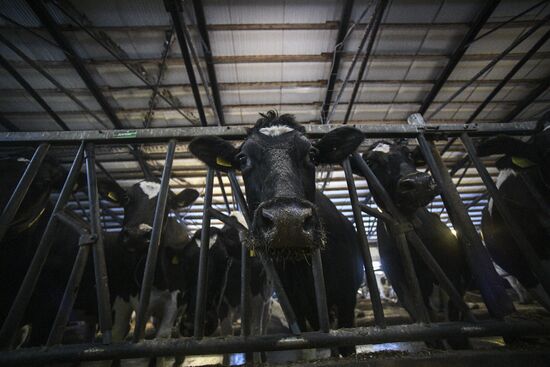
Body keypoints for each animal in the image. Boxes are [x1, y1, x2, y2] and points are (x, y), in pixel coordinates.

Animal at [190, 110, 366, 358]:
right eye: (243, 159)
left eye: (312, 154)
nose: (287, 220)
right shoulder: (295, 306)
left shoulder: (347, 300)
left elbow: (348, 347)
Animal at [358, 139, 474, 350]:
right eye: (370, 163)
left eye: (410, 154)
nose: (418, 182)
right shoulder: (401, 284)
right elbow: (428, 326)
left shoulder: (452, 275)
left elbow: (454, 319)